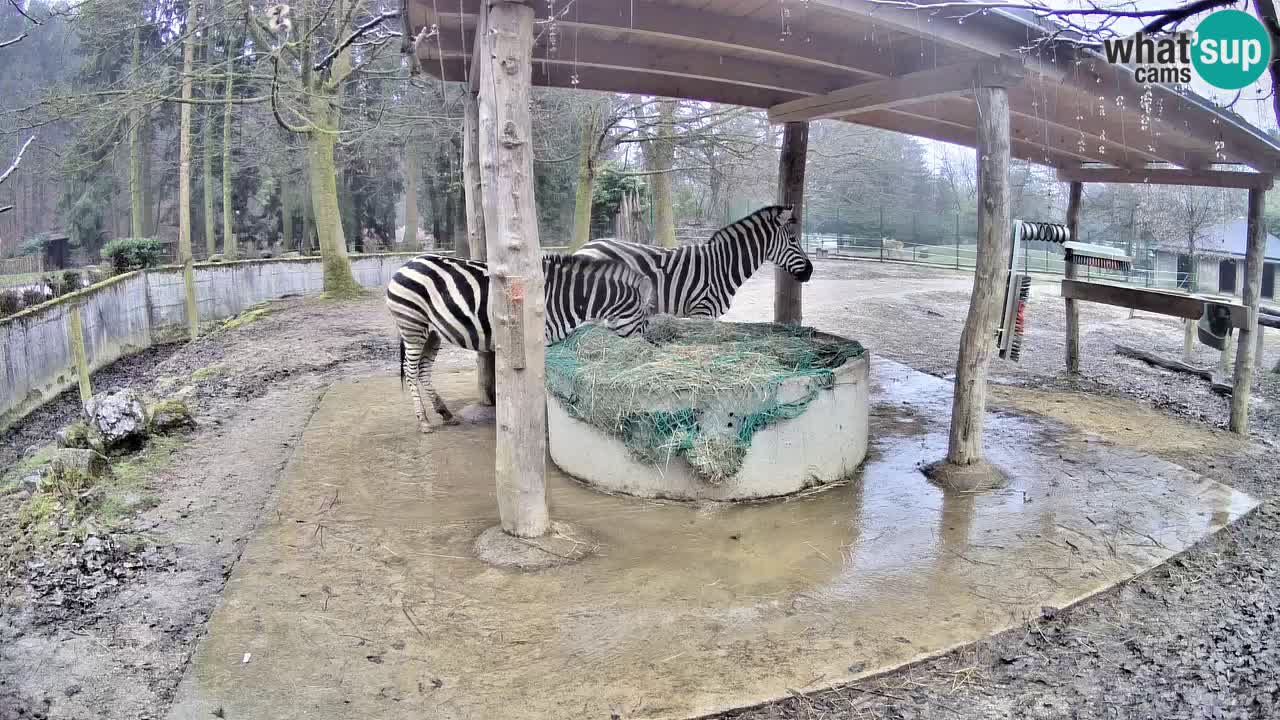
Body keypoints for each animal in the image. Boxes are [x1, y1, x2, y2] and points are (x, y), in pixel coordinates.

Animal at [384, 252, 655, 430]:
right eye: (645, 320)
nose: (646, 348)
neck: (568, 298)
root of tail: (406, 263)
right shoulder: (540, 340)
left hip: (433, 333)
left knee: (423, 370)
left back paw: (445, 414)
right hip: (413, 325)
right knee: (411, 371)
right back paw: (423, 421)